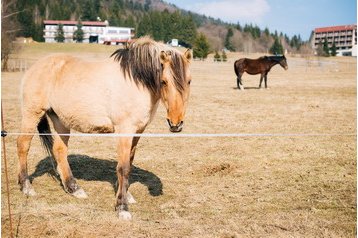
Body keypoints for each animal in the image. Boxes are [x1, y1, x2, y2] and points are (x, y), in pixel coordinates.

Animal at [16, 36, 193, 220]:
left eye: (189, 81)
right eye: (164, 81)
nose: (176, 123)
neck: (137, 82)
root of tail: (33, 68)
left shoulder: (138, 131)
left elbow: (129, 162)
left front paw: (126, 195)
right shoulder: (125, 130)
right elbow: (123, 167)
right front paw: (122, 207)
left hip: (60, 119)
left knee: (59, 150)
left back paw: (73, 188)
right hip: (32, 114)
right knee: (23, 145)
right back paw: (27, 187)